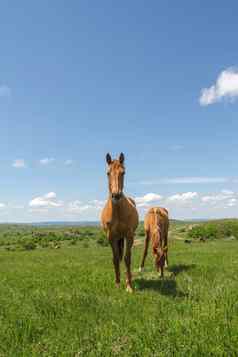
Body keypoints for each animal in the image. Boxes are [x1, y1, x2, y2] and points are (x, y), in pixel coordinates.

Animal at [100, 152, 138, 290]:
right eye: (108, 173)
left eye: (123, 172)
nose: (116, 195)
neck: (117, 211)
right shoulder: (111, 237)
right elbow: (115, 259)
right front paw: (117, 283)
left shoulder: (129, 235)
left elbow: (127, 259)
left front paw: (129, 286)